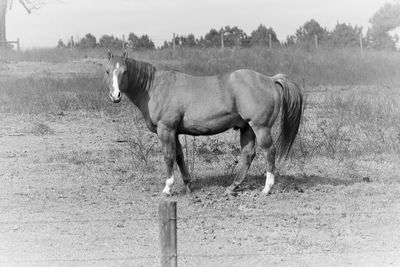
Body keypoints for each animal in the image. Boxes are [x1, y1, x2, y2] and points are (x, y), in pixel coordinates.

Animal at [104, 50, 302, 197]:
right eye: (107, 71)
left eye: (125, 71)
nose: (115, 96)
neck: (155, 87)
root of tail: (270, 79)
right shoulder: (175, 132)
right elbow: (179, 156)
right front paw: (188, 185)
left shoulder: (165, 129)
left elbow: (168, 156)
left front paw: (168, 188)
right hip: (247, 128)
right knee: (248, 155)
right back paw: (233, 186)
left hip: (260, 127)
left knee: (270, 152)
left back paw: (267, 188)